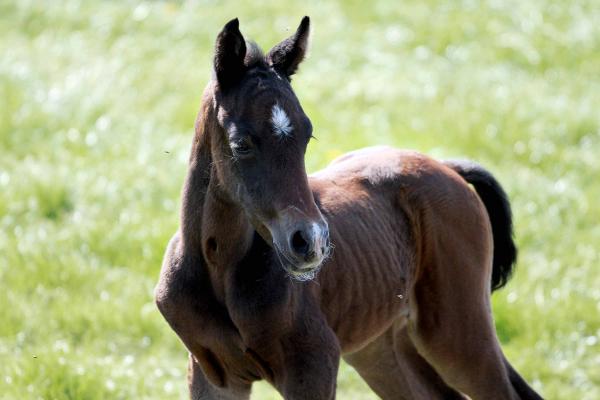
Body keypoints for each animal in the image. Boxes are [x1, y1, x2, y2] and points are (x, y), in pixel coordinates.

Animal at [156, 16, 544, 400]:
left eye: (307, 136)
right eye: (241, 144)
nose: (310, 241)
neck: (219, 266)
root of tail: (447, 167)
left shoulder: (313, 364)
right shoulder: (214, 373)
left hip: (457, 331)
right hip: (380, 347)